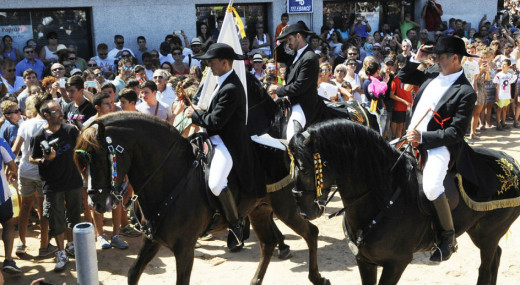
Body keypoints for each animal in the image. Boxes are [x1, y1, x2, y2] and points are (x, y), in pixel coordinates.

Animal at [74, 111, 330, 284]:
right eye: (83, 162)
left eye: (99, 158)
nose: (95, 203)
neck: (170, 177)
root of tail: (285, 145)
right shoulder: (153, 239)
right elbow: (133, 273)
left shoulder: (184, 247)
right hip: (260, 210)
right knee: (268, 244)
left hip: (287, 208)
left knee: (311, 233)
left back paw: (317, 277)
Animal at [288, 118, 520, 282]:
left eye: (305, 168)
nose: (303, 210)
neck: (383, 197)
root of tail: (511, 164)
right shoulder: (365, 261)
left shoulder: (396, 263)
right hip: (478, 231)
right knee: (496, 257)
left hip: (489, 234)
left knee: (486, 266)